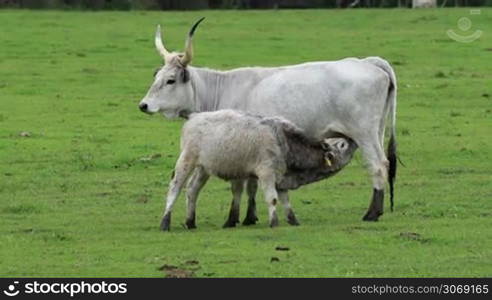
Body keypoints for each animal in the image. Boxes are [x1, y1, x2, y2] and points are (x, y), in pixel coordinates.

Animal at [136, 17, 398, 223]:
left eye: (170, 80)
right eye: (156, 77)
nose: (143, 105)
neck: (221, 89)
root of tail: (367, 62)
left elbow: (242, 185)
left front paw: (242, 218)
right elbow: (252, 184)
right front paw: (250, 216)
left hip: (364, 134)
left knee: (377, 165)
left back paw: (372, 213)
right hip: (377, 131)